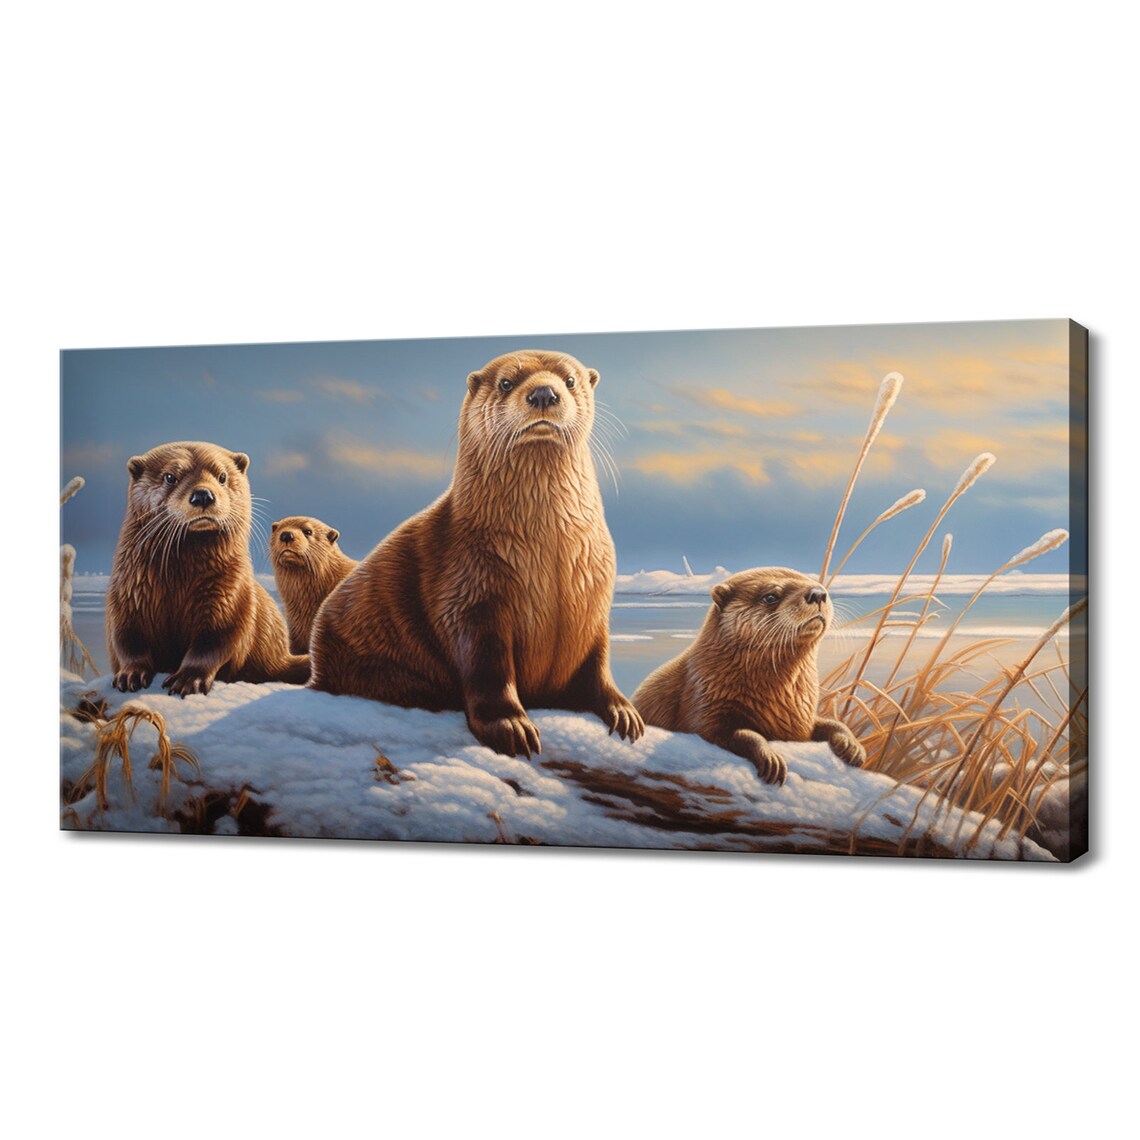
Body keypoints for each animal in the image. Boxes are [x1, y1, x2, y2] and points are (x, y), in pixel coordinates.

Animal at [106, 441, 309, 696]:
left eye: (222, 476)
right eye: (170, 477)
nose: (203, 494)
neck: (180, 581)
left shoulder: (229, 598)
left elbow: (214, 643)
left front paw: (189, 679)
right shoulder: (128, 593)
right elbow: (126, 638)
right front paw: (130, 674)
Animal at [309, 350, 643, 758]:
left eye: (570, 380)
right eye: (506, 382)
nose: (544, 393)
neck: (549, 553)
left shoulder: (593, 601)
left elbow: (598, 664)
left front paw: (622, 709)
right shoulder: (472, 593)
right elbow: (488, 669)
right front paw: (510, 725)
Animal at [631, 567, 865, 785]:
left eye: (817, 584)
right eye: (771, 596)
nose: (818, 593)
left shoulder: (802, 720)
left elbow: (830, 724)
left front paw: (853, 746)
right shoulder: (702, 704)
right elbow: (739, 734)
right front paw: (770, 757)